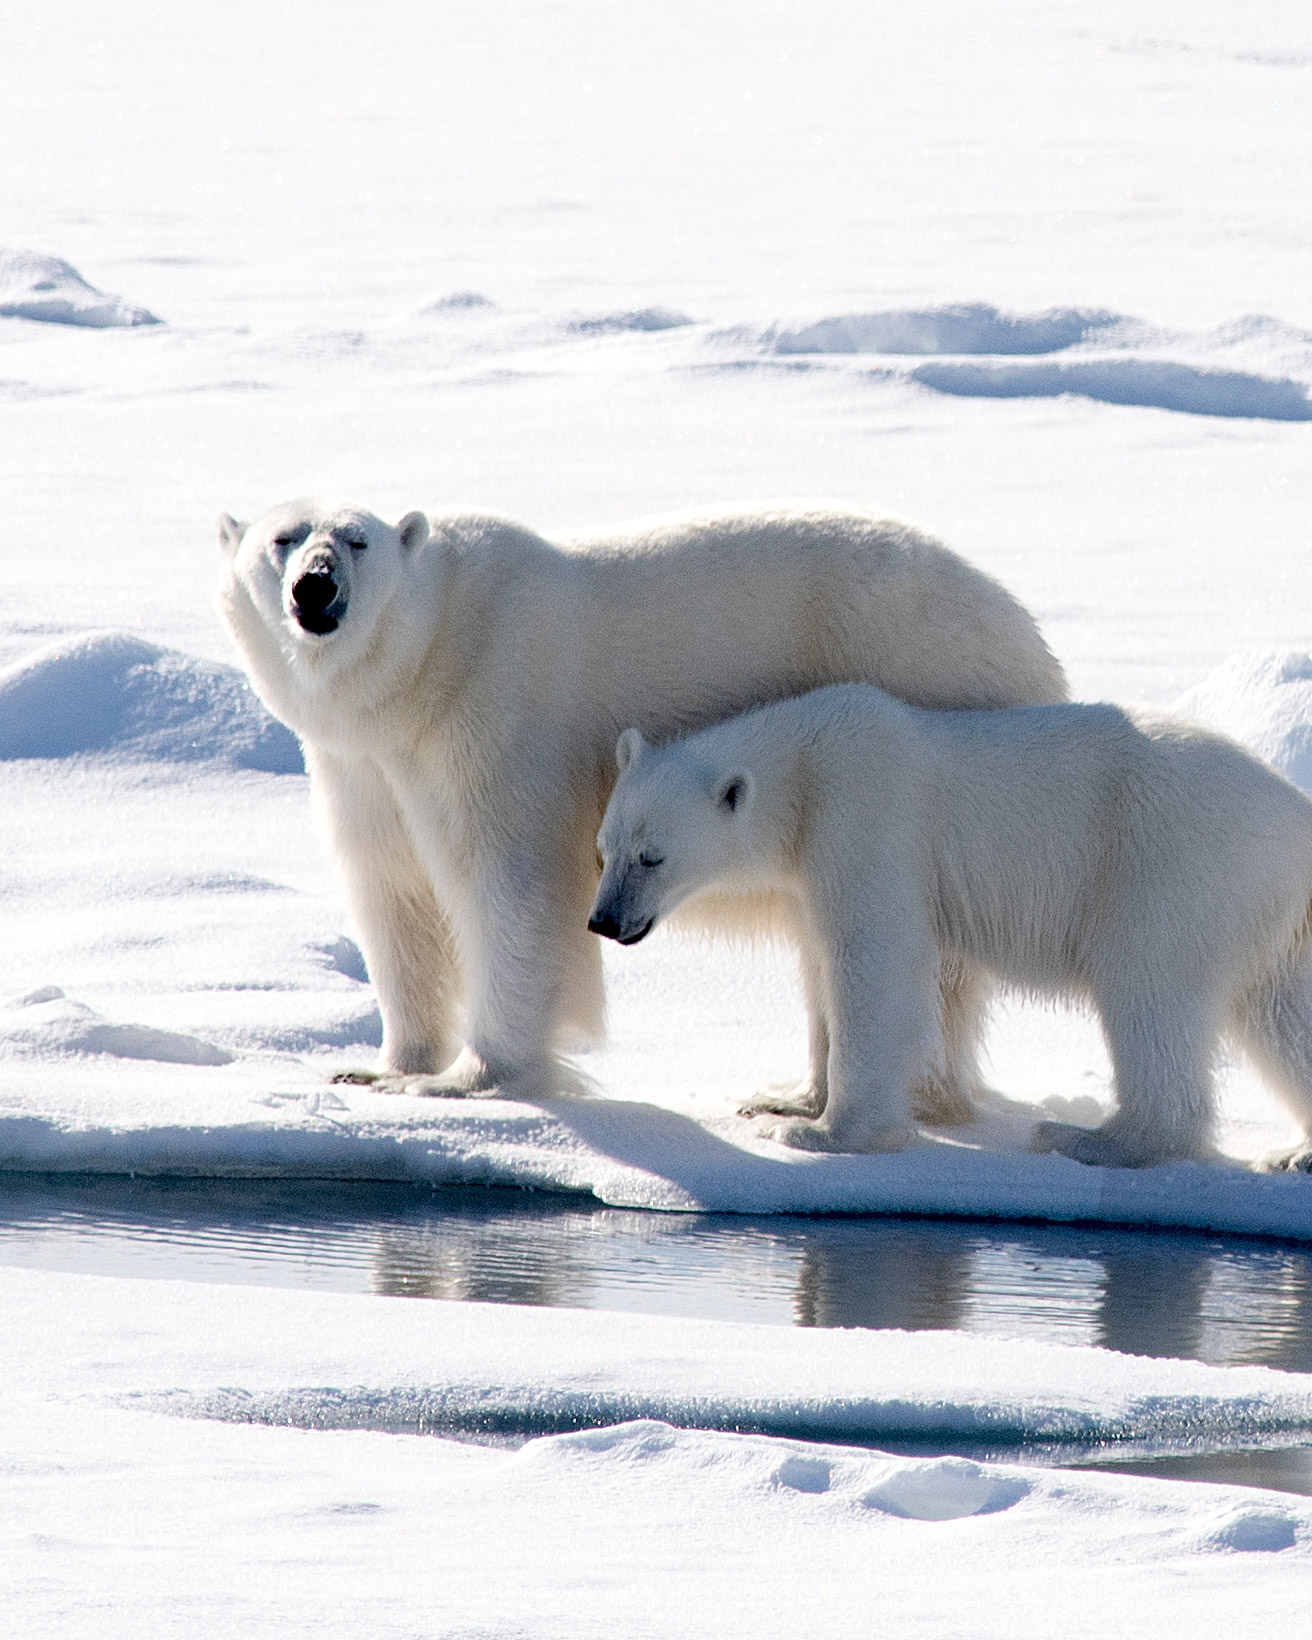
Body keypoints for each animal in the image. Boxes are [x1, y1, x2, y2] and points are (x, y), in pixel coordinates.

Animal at [216, 499, 1065, 1108]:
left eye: (357, 540)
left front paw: (471, 1076)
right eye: (283, 537)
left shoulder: (500, 713)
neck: (427, 666)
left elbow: (515, 885)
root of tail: (1029, 636)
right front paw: (384, 1067)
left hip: (928, 691)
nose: (316, 585)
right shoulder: (361, 764)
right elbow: (393, 892)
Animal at [590, 685, 1312, 1171]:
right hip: (1272, 914)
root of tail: (1295, 815)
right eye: (605, 848)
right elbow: (821, 963)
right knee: (1281, 1012)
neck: (805, 764)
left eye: (652, 857)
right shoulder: (810, 861)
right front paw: (787, 1099)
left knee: (1148, 990)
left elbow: (876, 960)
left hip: (1174, 870)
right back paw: (1294, 1152)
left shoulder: (866, 817)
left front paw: (826, 1133)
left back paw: (1092, 1138)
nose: (604, 920)